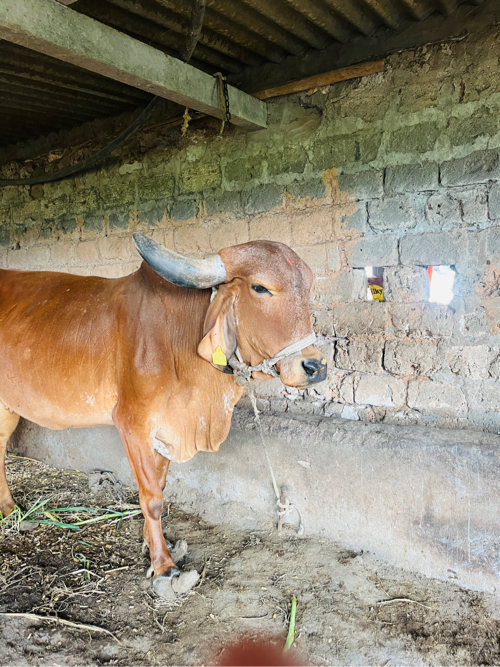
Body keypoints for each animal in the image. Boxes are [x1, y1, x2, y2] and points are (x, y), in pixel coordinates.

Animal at [0, 234, 328, 596]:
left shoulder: (167, 429)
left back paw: (11, 510)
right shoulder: (133, 423)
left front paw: (154, 544)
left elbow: (159, 483)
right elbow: (152, 497)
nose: (316, 367)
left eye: (308, 287)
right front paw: (164, 567)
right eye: (260, 288)